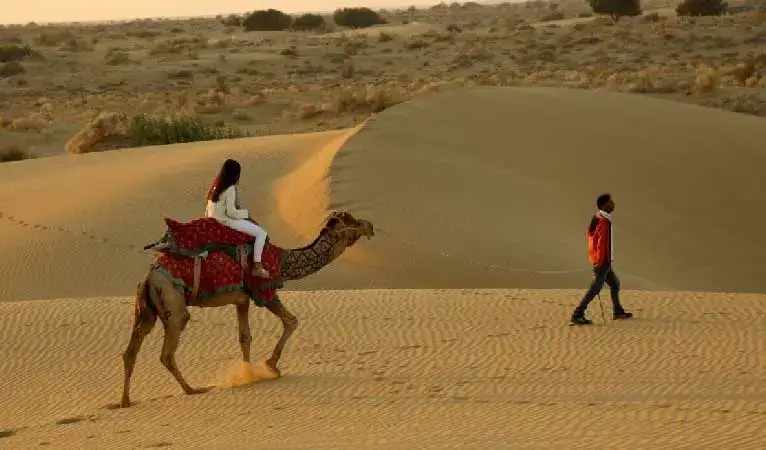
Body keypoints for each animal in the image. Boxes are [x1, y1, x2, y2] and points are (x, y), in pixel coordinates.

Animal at [121, 211, 376, 408]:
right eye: (350, 220)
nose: (370, 226)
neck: (283, 261)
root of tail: (148, 278)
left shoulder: (241, 300)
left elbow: (245, 337)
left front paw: (249, 375)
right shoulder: (264, 291)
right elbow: (291, 321)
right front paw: (271, 366)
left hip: (146, 309)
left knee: (131, 349)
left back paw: (125, 401)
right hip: (172, 300)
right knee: (168, 349)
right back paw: (192, 389)